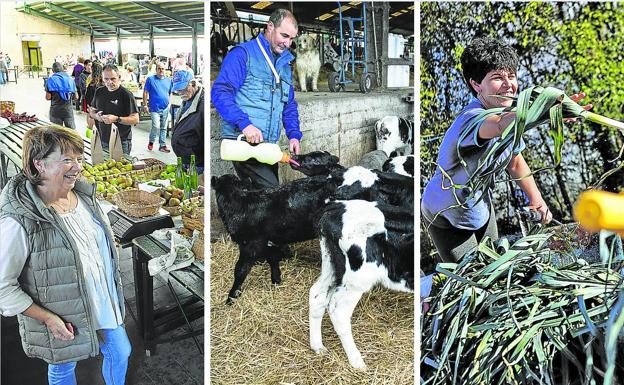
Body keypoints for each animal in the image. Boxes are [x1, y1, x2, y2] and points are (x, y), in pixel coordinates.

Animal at [308, 200, 414, 368]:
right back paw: (358, 363)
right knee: (339, 312)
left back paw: (318, 346)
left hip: (332, 265)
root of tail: (336, 207)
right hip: (357, 280)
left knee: (317, 295)